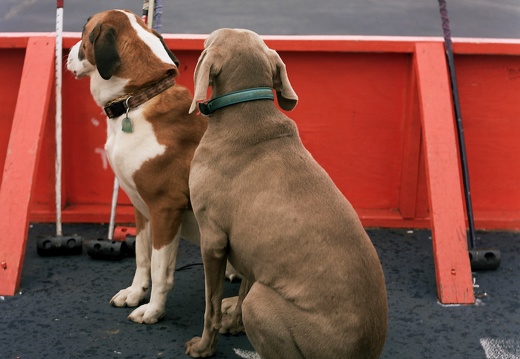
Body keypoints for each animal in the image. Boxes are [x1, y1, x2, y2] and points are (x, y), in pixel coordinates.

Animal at [67, 9, 207, 324]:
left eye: (83, 32)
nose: (67, 53)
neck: (139, 98)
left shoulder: (165, 207)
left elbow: (159, 268)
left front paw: (153, 310)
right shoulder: (142, 207)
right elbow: (143, 258)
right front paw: (135, 293)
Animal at [185, 28, 388, 359]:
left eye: (208, 40)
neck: (247, 113)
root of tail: (366, 351)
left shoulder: (212, 240)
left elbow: (210, 306)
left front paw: (204, 347)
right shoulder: (254, 250)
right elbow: (241, 289)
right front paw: (232, 324)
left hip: (263, 305)